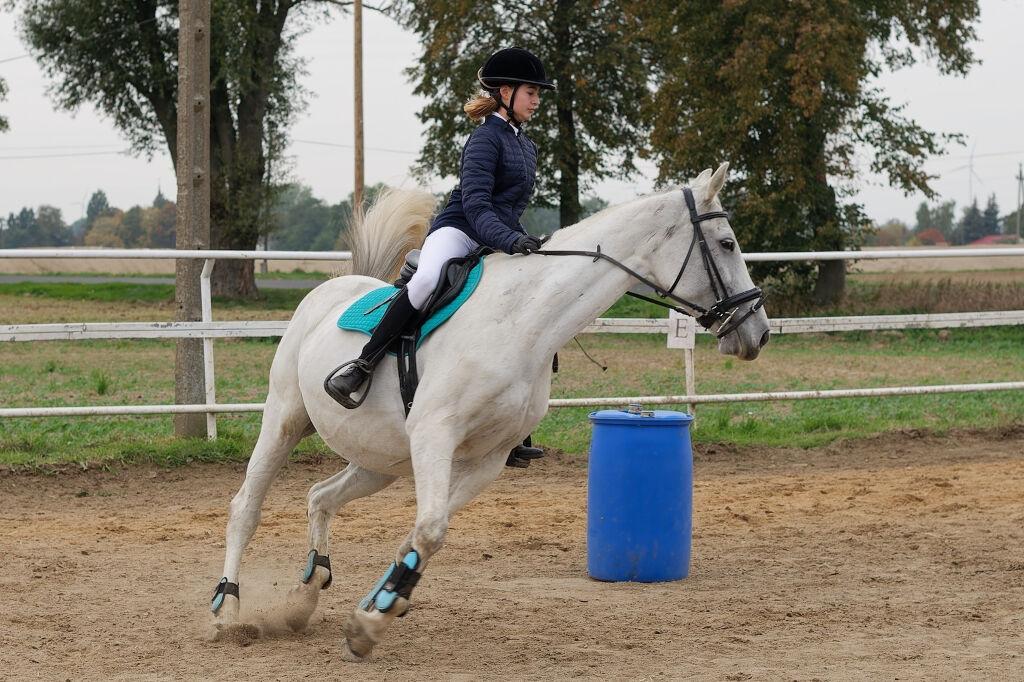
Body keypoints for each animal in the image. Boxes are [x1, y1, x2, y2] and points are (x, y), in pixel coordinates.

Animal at [209, 162, 770, 660]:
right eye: (727, 243)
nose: (758, 331)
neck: (525, 322)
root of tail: (331, 291)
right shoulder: (435, 436)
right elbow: (429, 530)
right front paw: (374, 619)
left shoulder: (486, 459)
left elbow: (423, 532)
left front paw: (375, 608)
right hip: (284, 420)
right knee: (245, 507)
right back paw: (225, 608)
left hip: (380, 461)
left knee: (320, 497)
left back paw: (306, 592)